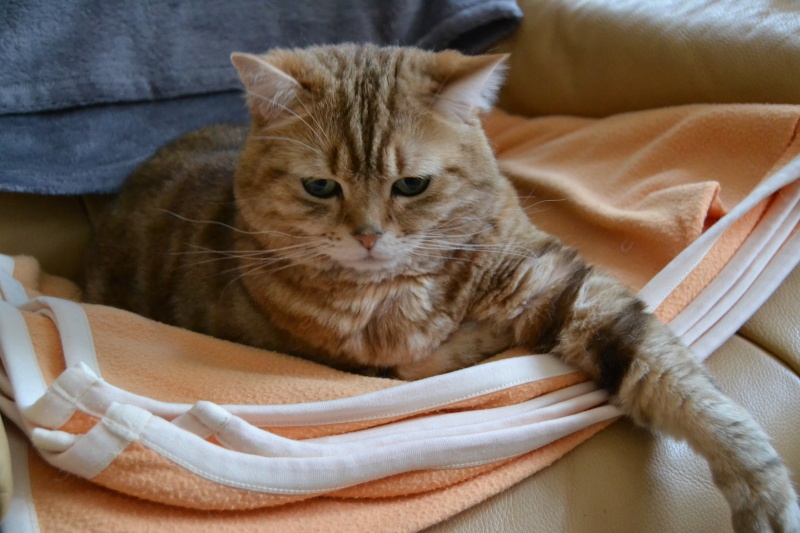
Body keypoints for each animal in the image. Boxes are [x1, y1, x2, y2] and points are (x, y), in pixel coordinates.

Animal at [84, 43, 796, 528]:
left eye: (411, 184)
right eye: (320, 186)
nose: (368, 235)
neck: (402, 287)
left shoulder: (556, 283)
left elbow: (674, 378)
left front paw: (762, 487)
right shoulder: (345, 358)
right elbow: (416, 364)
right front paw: (475, 341)